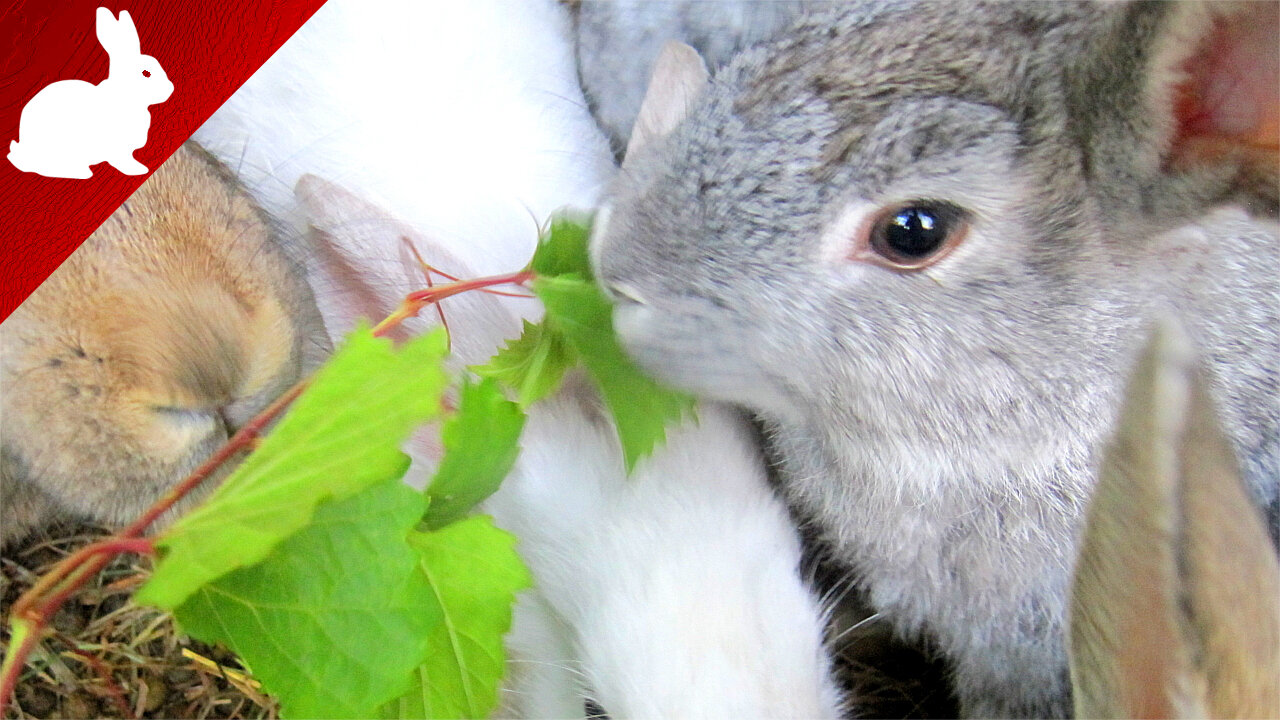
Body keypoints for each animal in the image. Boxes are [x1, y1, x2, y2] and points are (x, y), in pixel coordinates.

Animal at [7, 7, 174, 178]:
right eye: (146, 73)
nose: (170, 88)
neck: (124, 97)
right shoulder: (117, 149)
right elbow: (122, 161)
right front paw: (137, 170)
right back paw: (82, 172)